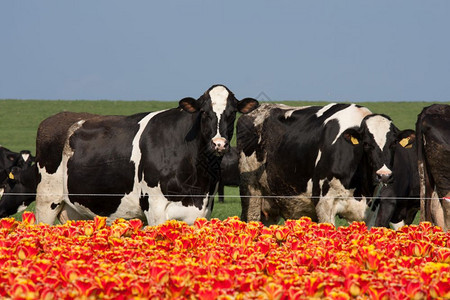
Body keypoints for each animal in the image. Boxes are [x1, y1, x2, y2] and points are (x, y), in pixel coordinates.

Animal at [33, 84, 258, 225]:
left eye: (232, 113)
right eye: (203, 112)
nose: (219, 144)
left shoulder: (201, 211)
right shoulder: (156, 209)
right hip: (47, 200)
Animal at [237, 102, 414, 225]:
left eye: (393, 144)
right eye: (366, 144)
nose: (384, 176)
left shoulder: (371, 211)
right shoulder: (325, 205)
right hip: (251, 192)